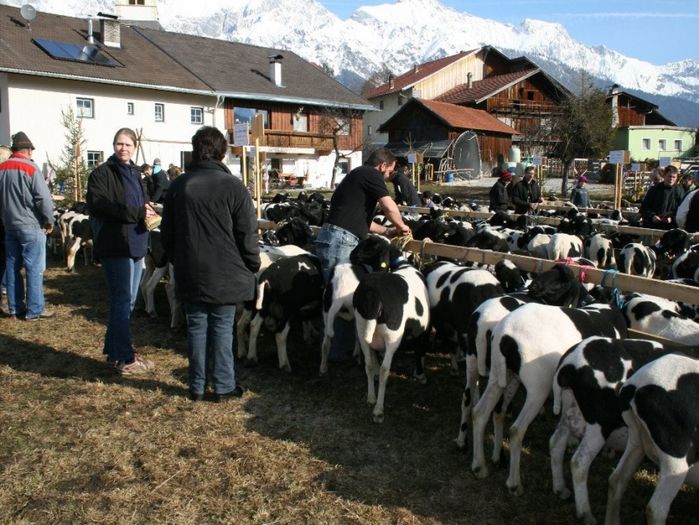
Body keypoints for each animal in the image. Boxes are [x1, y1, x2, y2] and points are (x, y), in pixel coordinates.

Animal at [356, 258, 432, 422]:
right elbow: (419, 350)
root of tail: (373, 294)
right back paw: (378, 410)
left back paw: (371, 397)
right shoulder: (422, 330)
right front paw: (420, 375)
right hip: (392, 337)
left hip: (361, 328)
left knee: (368, 364)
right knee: (385, 370)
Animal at [470, 300, 628, 494]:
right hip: (538, 388)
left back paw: (479, 466)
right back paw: (514, 483)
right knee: (516, 430)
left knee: (479, 413)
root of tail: (504, 333)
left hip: (499, 375)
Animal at [552, 336, 668, 524]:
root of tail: (569, 363)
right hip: (600, 423)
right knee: (579, 462)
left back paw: (560, 488)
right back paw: (585, 513)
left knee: (556, 443)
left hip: (569, 408)